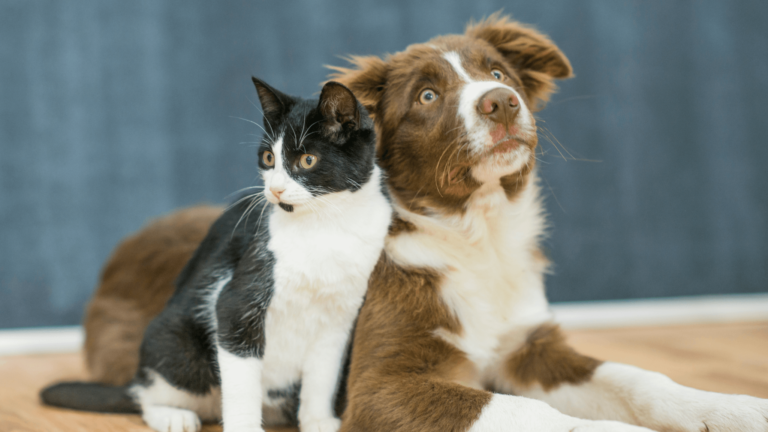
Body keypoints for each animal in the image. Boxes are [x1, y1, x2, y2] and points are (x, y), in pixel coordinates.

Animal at [41, 78, 392, 432]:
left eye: (307, 160)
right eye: (268, 158)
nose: (275, 189)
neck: (326, 225)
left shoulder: (340, 317)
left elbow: (322, 376)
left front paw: (318, 420)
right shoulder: (236, 302)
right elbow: (241, 379)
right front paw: (245, 427)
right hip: (177, 344)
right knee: (147, 393)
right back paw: (172, 414)